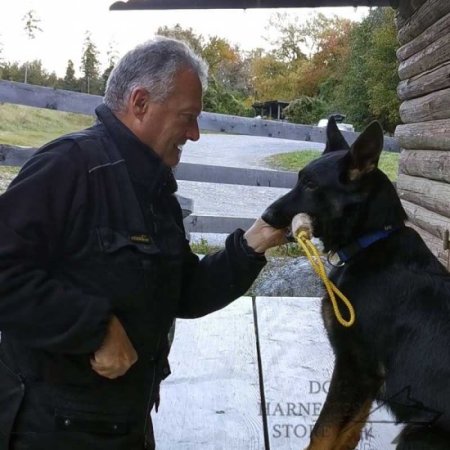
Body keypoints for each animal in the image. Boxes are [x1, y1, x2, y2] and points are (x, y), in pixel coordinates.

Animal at [262, 118, 450, 448]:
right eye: (300, 180)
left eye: (311, 185)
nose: (266, 216)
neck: (368, 242)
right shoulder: (366, 378)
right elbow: (348, 432)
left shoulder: (355, 367)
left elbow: (323, 431)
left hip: (420, 431)